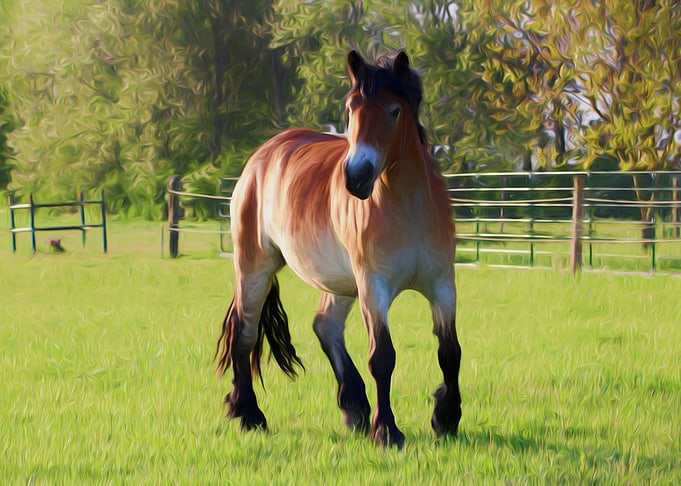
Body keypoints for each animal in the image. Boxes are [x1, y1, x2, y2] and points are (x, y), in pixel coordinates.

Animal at [215, 50, 461, 448]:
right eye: (350, 109)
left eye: (394, 110)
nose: (356, 177)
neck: (408, 207)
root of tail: (262, 156)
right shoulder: (374, 286)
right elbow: (383, 357)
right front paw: (387, 431)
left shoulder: (442, 284)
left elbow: (449, 351)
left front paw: (447, 417)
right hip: (255, 268)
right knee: (245, 333)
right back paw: (249, 414)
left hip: (341, 282)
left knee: (325, 325)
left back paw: (354, 406)